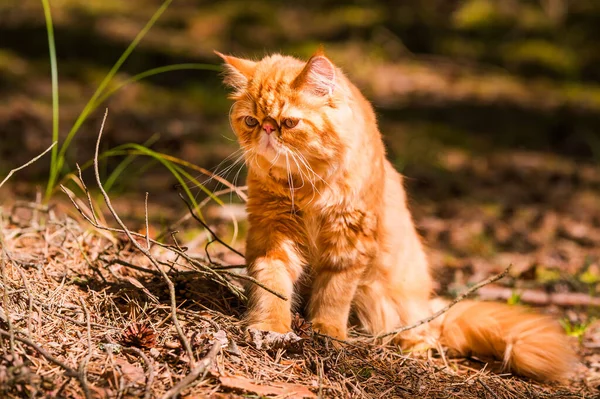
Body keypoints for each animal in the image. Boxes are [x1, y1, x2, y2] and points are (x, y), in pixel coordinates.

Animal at [217, 48, 576, 382]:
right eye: (251, 121)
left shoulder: (350, 238)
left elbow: (334, 294)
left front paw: (327, 331)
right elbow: (272, 285)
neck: (304, 186)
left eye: (290, 123)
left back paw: (413, 346)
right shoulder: (273, 231)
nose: (267, 130)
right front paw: (271, 328)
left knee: (424, 330)